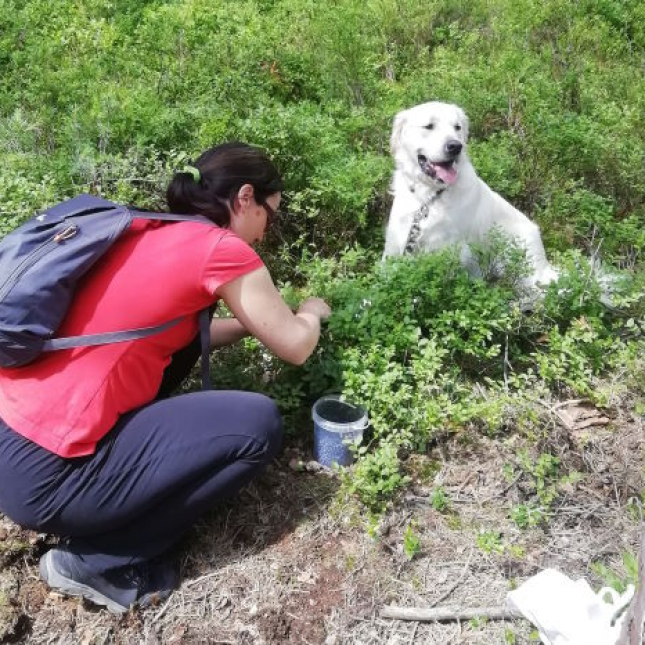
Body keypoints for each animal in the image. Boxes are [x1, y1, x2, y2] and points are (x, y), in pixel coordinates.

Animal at [382, 100, 560, 290]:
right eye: (429, 126)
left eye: (457, 127)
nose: (455, 146)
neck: (428, 199)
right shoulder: (396, 241)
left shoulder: (447, 248)